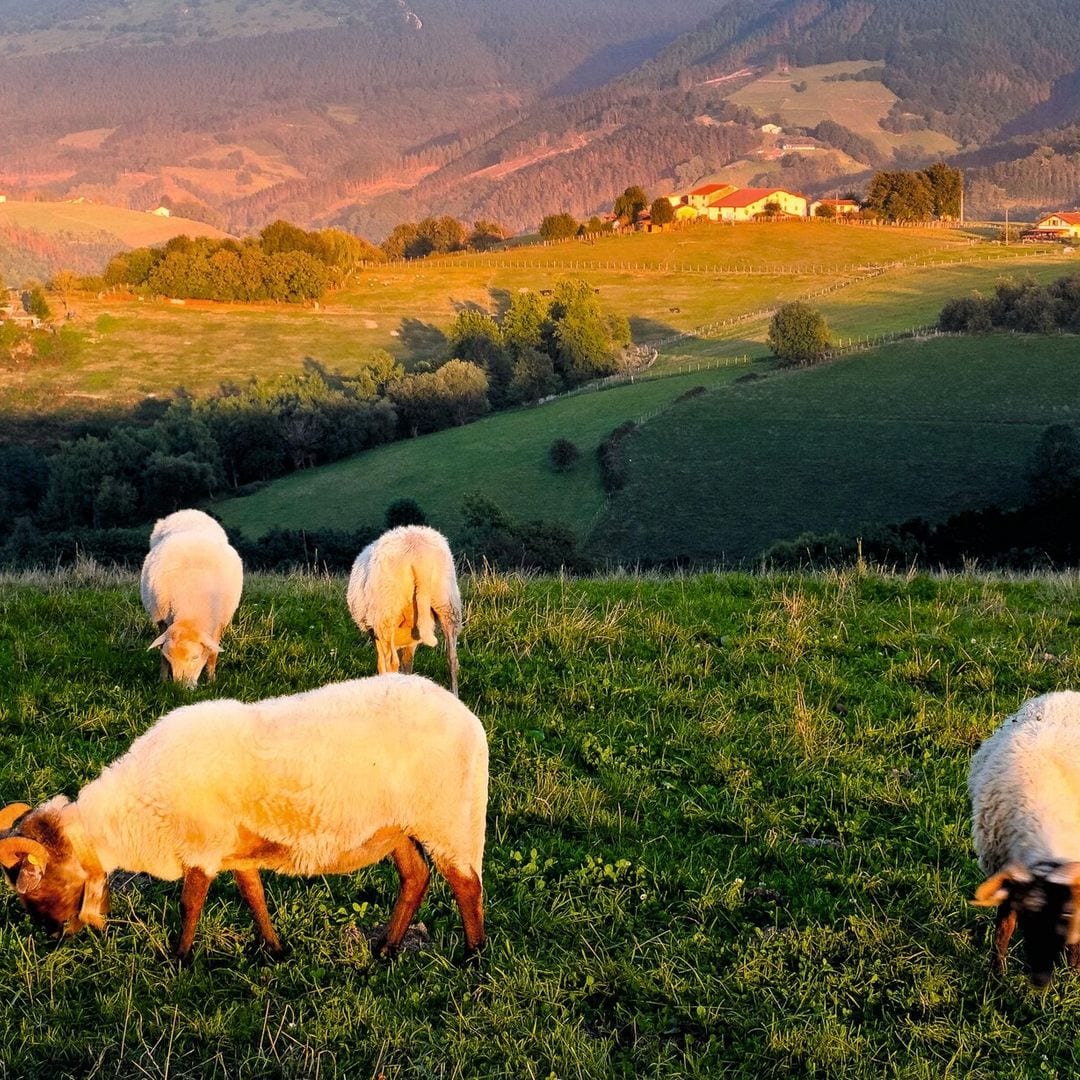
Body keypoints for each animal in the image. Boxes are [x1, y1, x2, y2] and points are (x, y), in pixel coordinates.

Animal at [0, 673, 488, 963]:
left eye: (36, 886)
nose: (55, 938)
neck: (135, 811)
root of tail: (465, 714)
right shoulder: (235, 850)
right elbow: (253, 895)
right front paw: (273, 948)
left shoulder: (202, 846)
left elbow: (190, 902)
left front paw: (179, 958)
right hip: (396, 828)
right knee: (416, 876)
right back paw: (386, 948)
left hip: (449, 818)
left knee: (467, 885)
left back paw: (472, 957)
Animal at [139, 509, 243, 686]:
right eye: (170, 658)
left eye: (195, 657)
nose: (182, 688)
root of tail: (188, 512)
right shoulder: (162, 618)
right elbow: (161, 654)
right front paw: (163, 680)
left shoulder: (218, 622)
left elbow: (213, 654)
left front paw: (211, 680)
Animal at [347, 527, 462, 695]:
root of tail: (418, 553)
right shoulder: (411, 640)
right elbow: (407, 664)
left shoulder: (377, 634)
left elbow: (382, 664)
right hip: (447, 603)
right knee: (452, 658)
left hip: (387, 613)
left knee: (391, 662)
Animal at [967, 691, 1080, 989]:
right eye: (1027, 919)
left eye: (1065, 916)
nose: (1040, 979)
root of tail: (1067, 692)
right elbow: (1004, 926)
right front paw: (996, 974)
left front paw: (1074, 970)